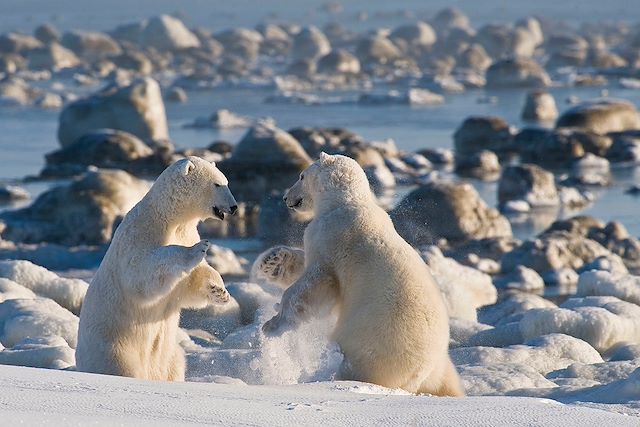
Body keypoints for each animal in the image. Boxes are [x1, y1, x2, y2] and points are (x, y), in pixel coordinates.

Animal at [77, 156, 238, 382]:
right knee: (122, 368)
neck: (166, 216)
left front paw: (220, 292)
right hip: (114, 348)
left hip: (170, 355)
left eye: (226, 182)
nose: (234, 207)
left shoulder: (186, 232)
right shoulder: (138, 234)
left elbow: (188, 286)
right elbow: (141, 274)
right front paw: (198, 249)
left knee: (176, 362)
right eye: (217, 184)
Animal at [258, 154, 462, 398]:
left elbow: (318, 282)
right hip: (438, 367)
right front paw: (272, 262)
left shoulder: (332, 237)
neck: (345, 203)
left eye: (301, 176)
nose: (286, 197)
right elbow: (305, 265)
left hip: (373, 342)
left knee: (357, 364)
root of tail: (426, 368)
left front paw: (272, 325)